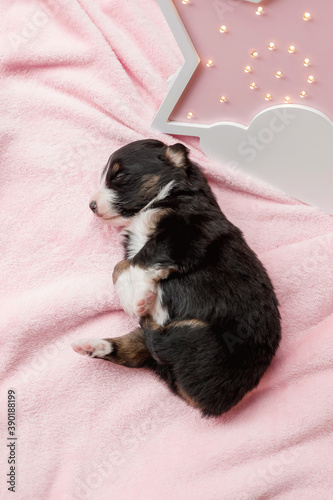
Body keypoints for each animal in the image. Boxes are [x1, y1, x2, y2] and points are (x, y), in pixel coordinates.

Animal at [72, 139, 280, 416]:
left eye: (120, 176)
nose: (92, 205)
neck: (167, 195)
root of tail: (210, 403)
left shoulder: (185, 231)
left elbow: (138, 261)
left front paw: (139, 298)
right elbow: (120, 265)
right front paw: (134, 296)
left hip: (197, 335)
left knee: (157, 344)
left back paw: (142, 313)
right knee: (136, 351)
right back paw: (92, 346)